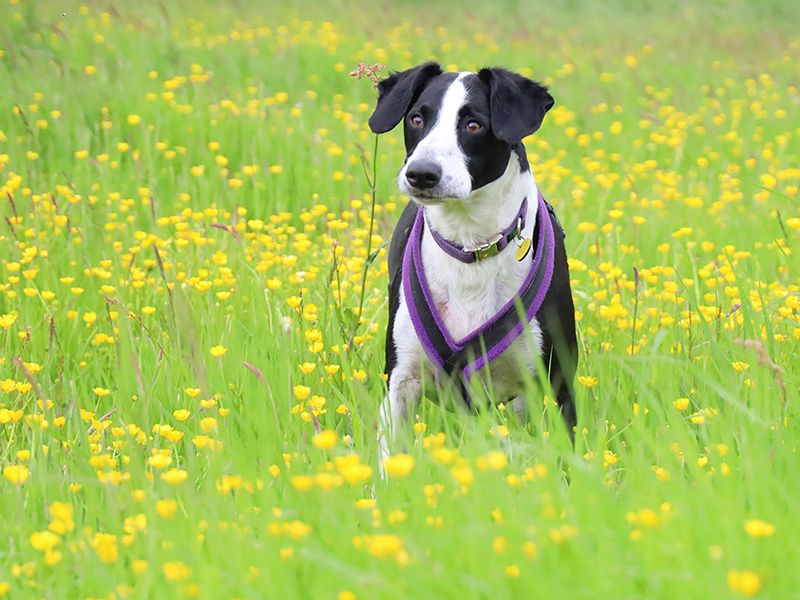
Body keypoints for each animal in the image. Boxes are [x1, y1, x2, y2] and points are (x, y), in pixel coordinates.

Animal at [368, 62, 576, 454]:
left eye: (473, 125)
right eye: (416, 119)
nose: (421, 173)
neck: (471, 247)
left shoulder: (555, 385)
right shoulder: (401, 381)